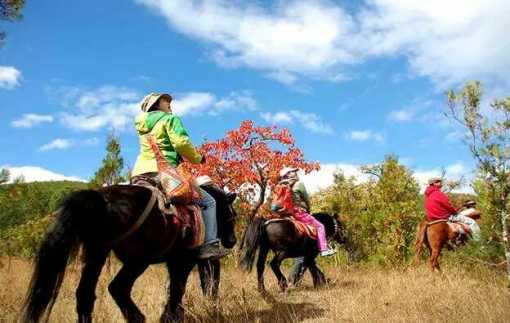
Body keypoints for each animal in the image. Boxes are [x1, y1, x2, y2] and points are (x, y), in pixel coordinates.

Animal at [19, 185, 239, 323]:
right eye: (232, 215)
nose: (232, 241)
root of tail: (102, 199)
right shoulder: (184, 261)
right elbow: (179, 290)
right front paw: (169, 317)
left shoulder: (176, 263)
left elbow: (178, 290)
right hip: (137, 261)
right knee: (117, 287)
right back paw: (138, 318)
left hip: (97, 255)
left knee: (85, 295)